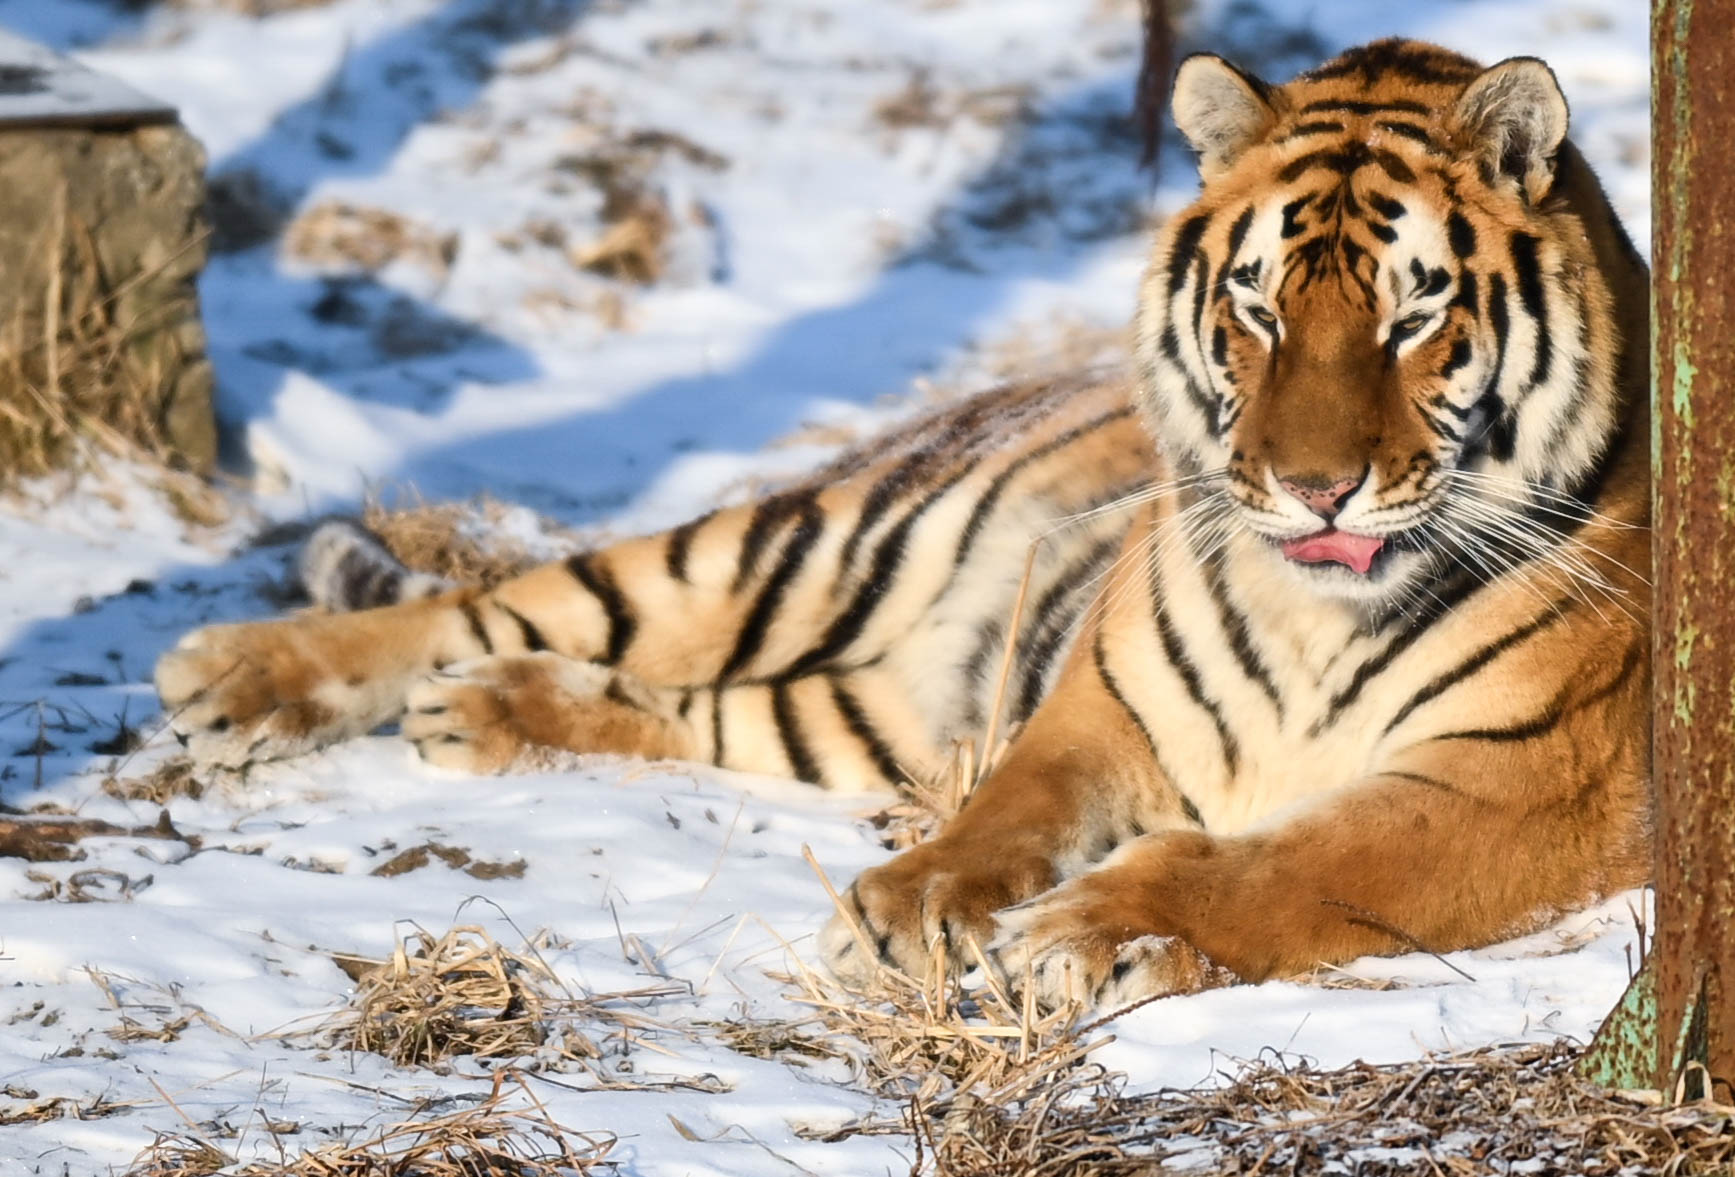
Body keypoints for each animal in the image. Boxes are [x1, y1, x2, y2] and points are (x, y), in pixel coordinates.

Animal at [156, 39, 1644, 1013]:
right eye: (1259, 308)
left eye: (1411, 315)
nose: (1310, 488)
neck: (1309, 608)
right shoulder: (1103, 705)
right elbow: (1005, 810)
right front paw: (913, 908)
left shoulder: (1516, 780)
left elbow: (1288, 864)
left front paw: (1084, 933)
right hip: (795, 543)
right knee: (494, 602)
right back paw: (236, 672)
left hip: (854, 707)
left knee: (695, 705)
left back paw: (485, 711)